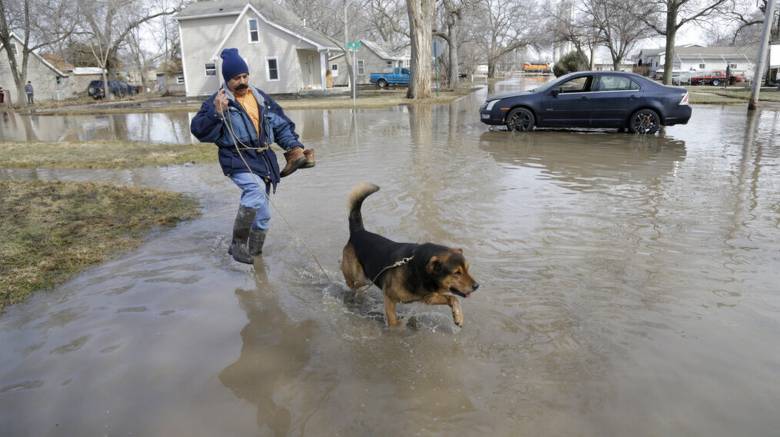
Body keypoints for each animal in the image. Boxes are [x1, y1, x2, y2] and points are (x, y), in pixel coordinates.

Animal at [342, 182, 482, 326]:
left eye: (467, 269)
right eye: (457, 273)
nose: (477, 286)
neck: (419, 270)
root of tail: (358, 231)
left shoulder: (429, 297)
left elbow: (453, 298)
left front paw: (458, 316)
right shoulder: (389, 298)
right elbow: (393, 322)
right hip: (360, 277)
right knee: (352, 283)